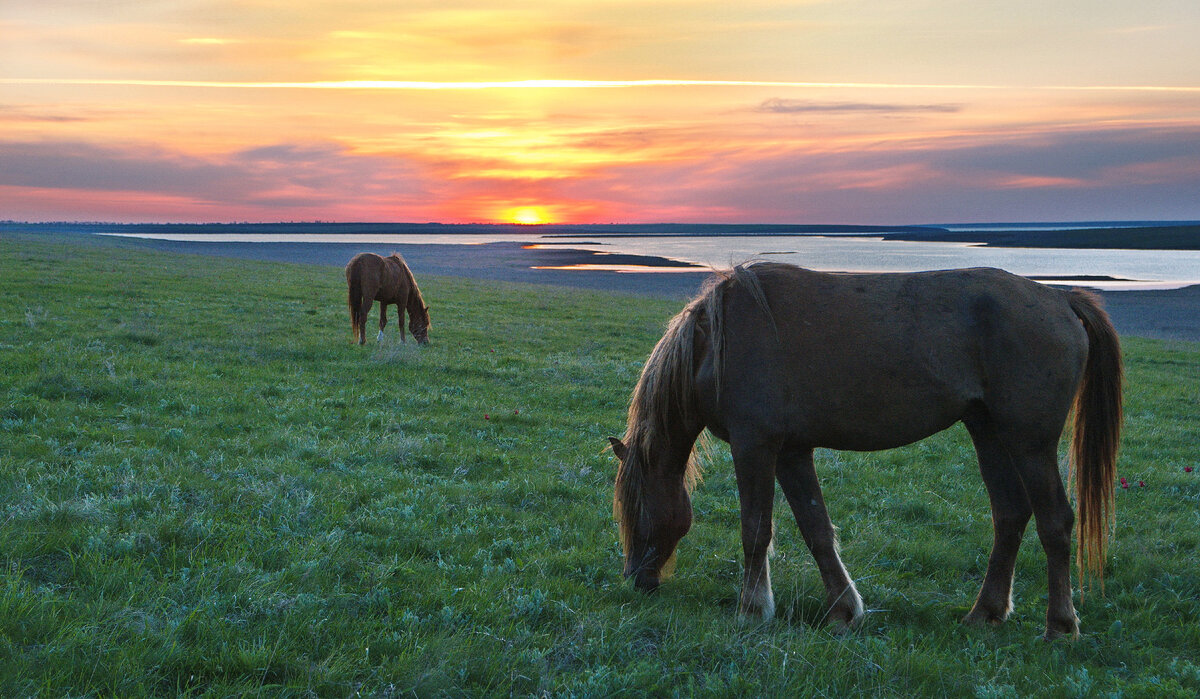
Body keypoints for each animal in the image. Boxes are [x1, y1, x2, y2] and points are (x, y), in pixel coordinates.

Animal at [609, 263, 1123, 638]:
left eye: (637, 507)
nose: (636, 580)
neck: (716, 343)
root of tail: (1060, 298)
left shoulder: (755, 445)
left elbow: (756, 530)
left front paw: (752, 610)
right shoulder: (792, 451)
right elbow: (816, 529)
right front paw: (843, 610)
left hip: (1030, 444)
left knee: (1055, 521)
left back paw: (1060, 625)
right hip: (989, 433)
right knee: (1010, 515)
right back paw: (985, 613)